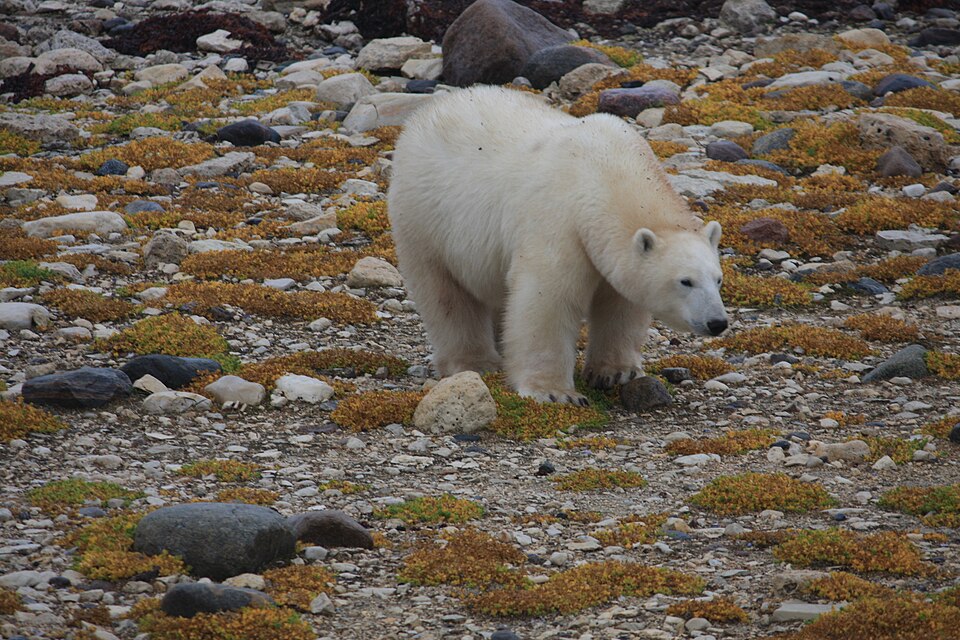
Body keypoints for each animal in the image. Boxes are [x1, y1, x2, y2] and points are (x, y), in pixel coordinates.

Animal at [388, 85, 728, 405]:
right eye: (685, 281)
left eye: (718, 279)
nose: (717, 322)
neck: (606, 171)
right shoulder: (558, 220)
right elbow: (548, 299)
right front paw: (555, 392)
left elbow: (620, 305)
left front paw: (615, 372)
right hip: (425, 217)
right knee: (445, 294)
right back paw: (477, 361)